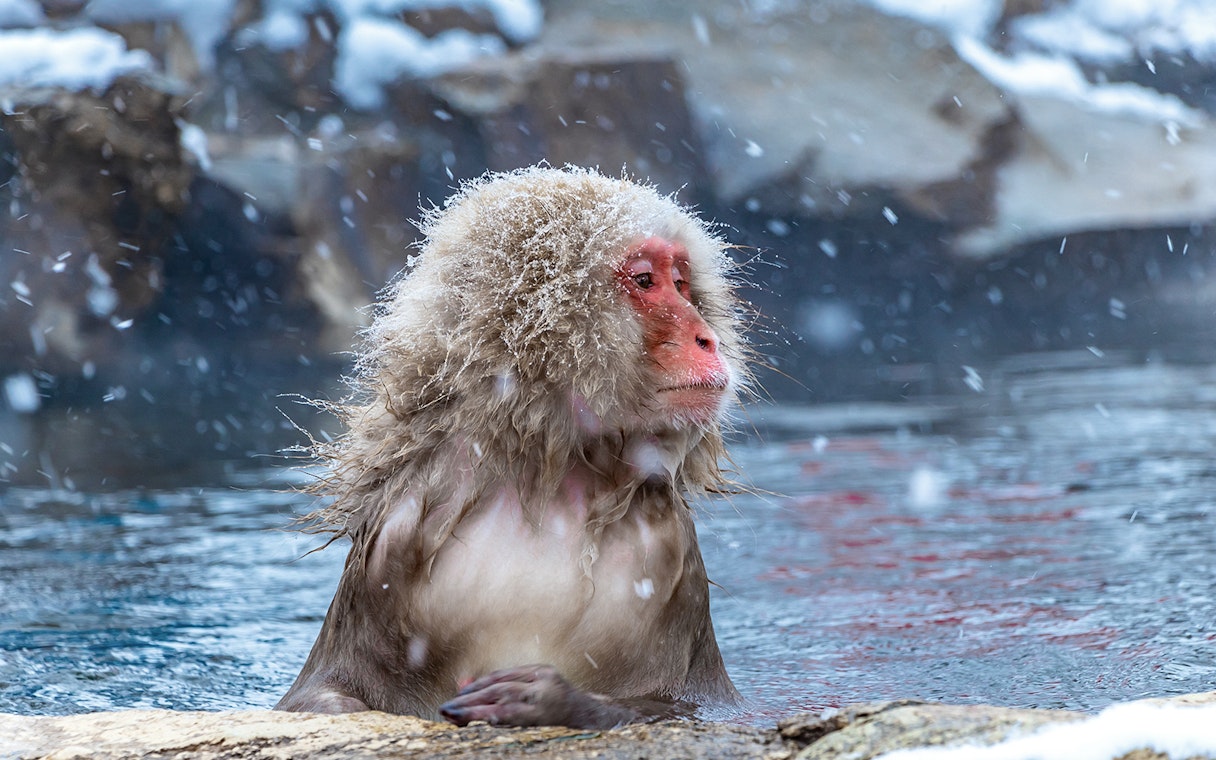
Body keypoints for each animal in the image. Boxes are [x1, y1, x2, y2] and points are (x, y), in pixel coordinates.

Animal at [276, 165, 750, 729]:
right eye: (644, 281)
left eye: (681, 284)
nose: (707, 338)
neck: (549, 481)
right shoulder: (392, 542)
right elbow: (326, 691)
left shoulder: (674, 552)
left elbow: (689, 705)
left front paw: (545, 698)